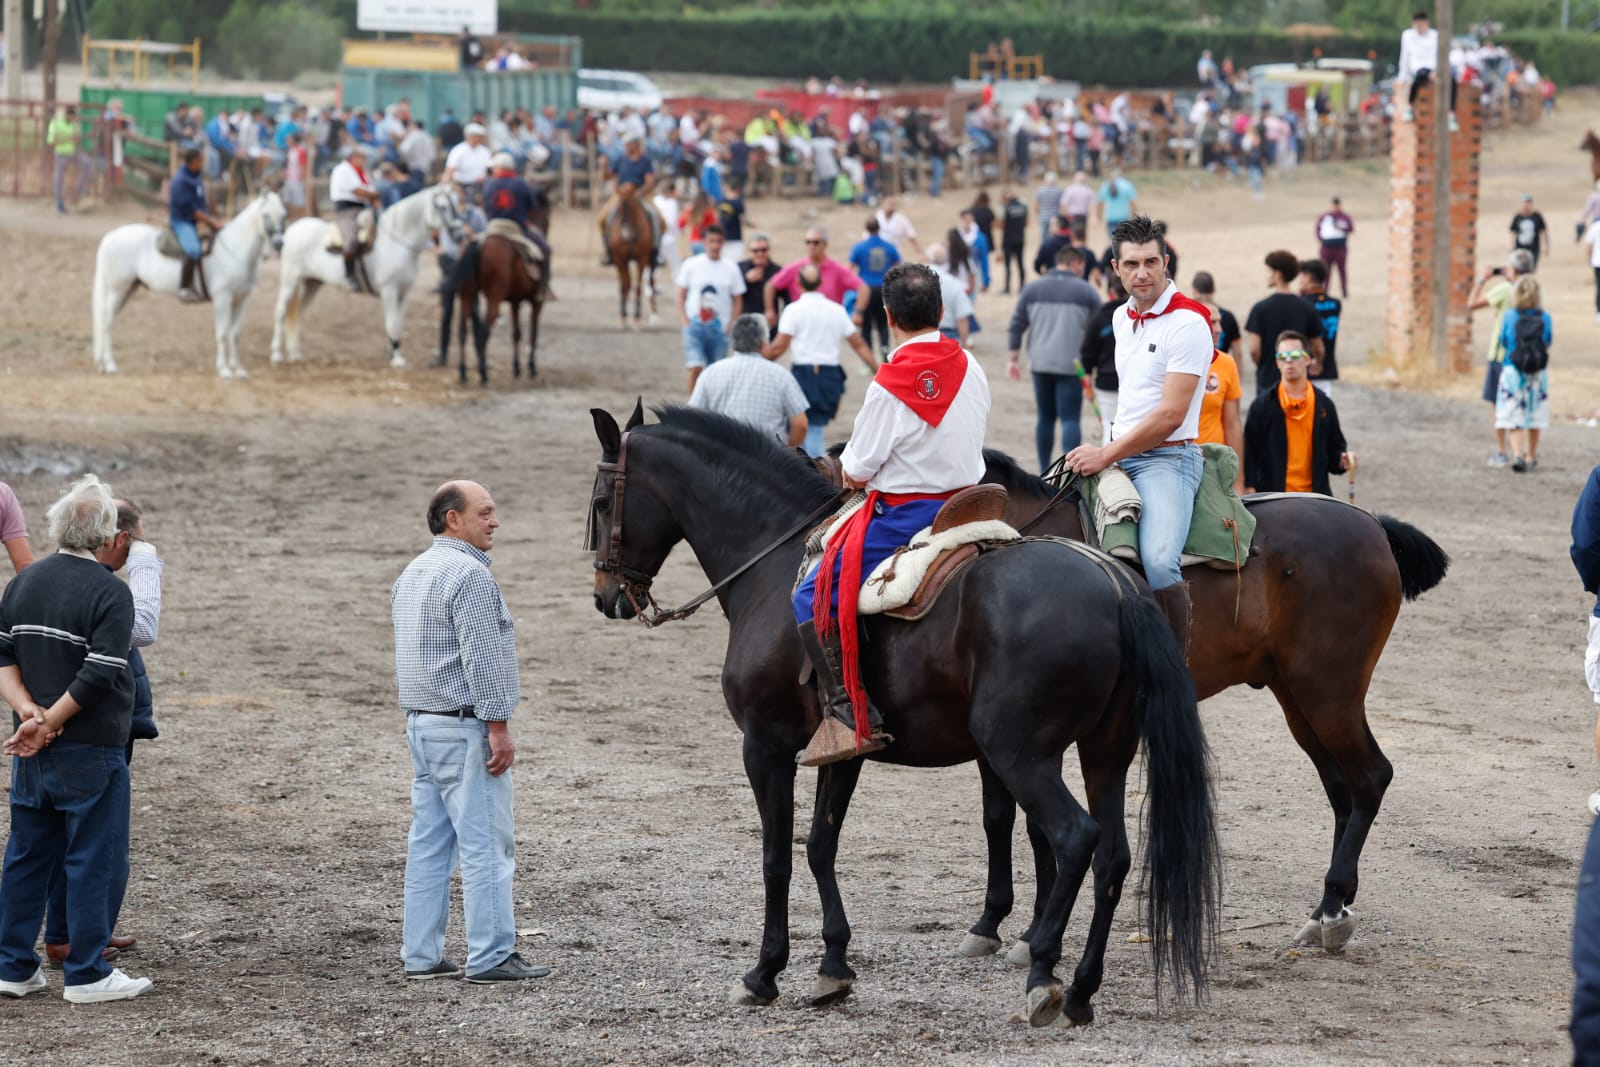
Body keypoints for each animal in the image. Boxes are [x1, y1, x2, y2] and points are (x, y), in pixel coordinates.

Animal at [89, 188, 288, 379]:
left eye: (283, 214)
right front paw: (224, 369)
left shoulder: (240, 300)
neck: (234, 250)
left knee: (109, 320)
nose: (279, 244)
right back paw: (110, 365)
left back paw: (103, 364)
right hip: (117, 290)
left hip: (128, 289)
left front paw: (237, 369)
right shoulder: (222, 298)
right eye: (265, 215)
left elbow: (235, 334)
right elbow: (222, 333)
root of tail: (111, 236)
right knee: (106, 322)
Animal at [270, 181, 464, 369]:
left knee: (297, 313)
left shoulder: (403, 293)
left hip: (312, 283)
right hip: (290, 281)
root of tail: (293, 228)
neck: (397, 243)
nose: (459, 234)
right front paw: (397, 359)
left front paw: (395, 353)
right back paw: (276, 354)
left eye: (455, 204)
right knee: (280, 312)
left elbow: (398, 324)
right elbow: (391, 323)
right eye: (442, 207)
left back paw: (295, 353)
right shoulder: (389, 291)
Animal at [592, 404, 1222, 1030]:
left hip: (1019, 751)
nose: (605, 595)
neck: (774, 563)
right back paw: (1082, 990)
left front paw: (764, 973)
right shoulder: (841, 751)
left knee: (1073, 838)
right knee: (1112, 855)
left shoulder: (765, 746)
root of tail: (1118, 585)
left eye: (600, 502)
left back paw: (1043, 973)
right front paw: (833, 966)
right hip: (1103, 753)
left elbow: (777, 857)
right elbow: (820, 845)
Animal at [604, 182, 656, 329]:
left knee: (651, 282)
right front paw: (623, 317)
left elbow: (637, 286)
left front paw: (637, 318)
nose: (625, 233)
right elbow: (624, 285)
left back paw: (654, 315)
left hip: (651, 261)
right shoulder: (620, 259)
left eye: (633, 206)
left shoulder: (641, 259)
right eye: (619, 208)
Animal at [972, 451, 1452, 959]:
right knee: (1343, 788)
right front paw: (994, 923)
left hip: (1330, 693)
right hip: (1299, 699)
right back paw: (1329, 908)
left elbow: (1036, 825)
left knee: (1371, 777)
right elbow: (1000, 816)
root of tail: (1372, 524)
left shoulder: (1034, 733)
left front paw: (1029, 934)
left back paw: (1334, 903)